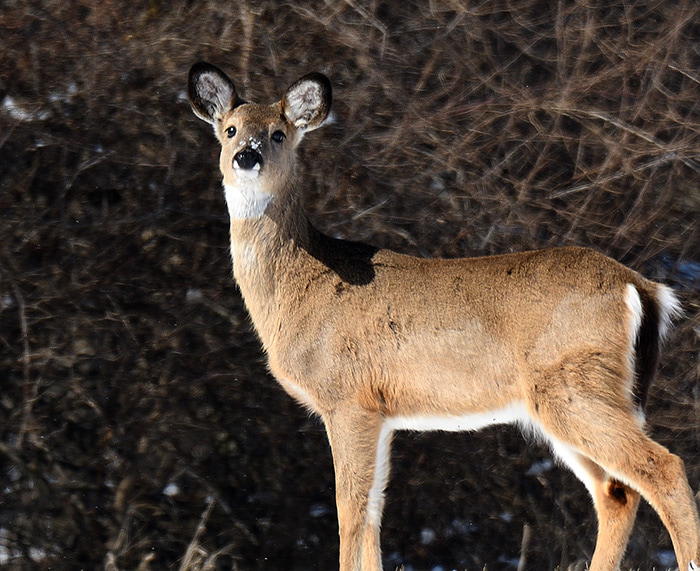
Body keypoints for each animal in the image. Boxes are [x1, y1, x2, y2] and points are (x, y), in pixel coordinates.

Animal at [187, 61, 700, 571]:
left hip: (574, 384)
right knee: (617, 493)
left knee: (663, 467)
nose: (246, 157)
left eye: (278, 134)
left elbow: (350, 512)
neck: (302, 285)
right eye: (231, 130)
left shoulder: (348, 397)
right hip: (580, 396)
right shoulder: (381, 412)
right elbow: (373, 512)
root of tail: (642, 287)